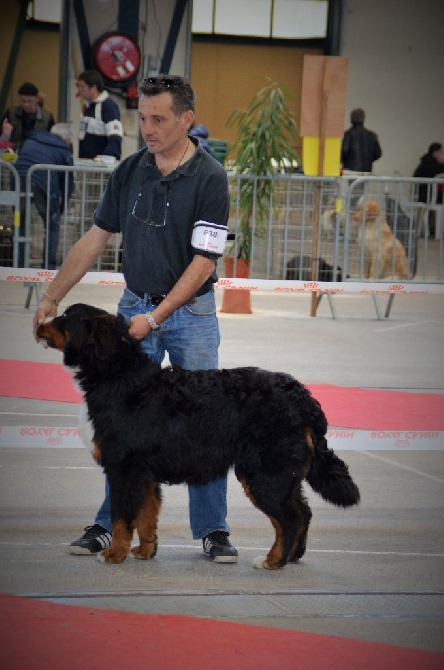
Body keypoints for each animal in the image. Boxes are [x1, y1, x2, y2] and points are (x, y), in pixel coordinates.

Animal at [36, 304, 360, 572]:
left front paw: (115, 554)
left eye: (64, 317)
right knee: (303, 512)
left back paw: (272, 561)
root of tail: (301, 396)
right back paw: (292, 556)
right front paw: (145, 551)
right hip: (282, 474)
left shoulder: (123, 468)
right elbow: (146, 515)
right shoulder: (144, 473)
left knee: (290, 519)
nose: (39, 324)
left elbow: (122, 517)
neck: (117, 375)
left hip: (264, 473)